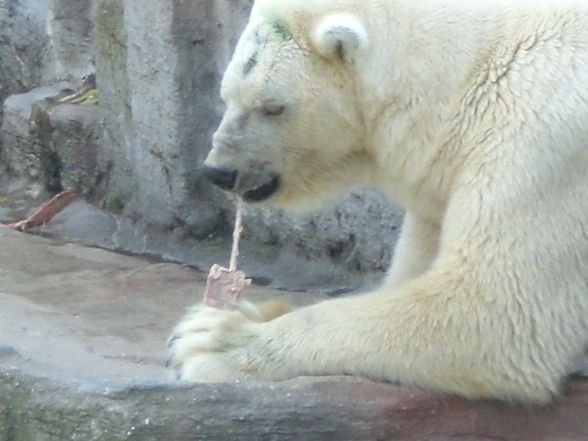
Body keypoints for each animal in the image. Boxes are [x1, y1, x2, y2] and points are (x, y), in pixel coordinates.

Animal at [168, 0, 588, 400]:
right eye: (226, 95)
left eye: (272, 106)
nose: (219, 171)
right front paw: (239, 314)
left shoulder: (542, 138)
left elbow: (493, 312)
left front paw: (211, 340)